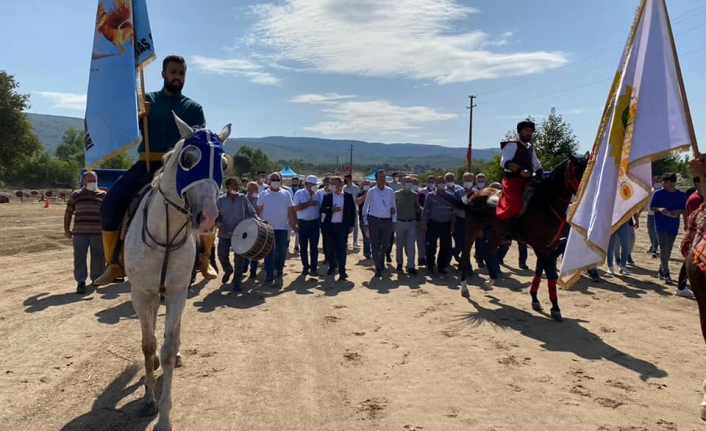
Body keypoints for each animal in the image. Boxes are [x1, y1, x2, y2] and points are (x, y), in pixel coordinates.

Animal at [122, 113, 230, 430]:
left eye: (224, 164)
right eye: (188, 158)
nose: (209, 217)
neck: (165, 235)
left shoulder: (177, 294)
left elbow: (168, 349)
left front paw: (164, 416)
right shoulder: (140, 294)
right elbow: (148, 345)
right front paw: (148, 399)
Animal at [454, 154, 584, 322]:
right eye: (577, 172)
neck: (546, 203)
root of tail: (475, 194)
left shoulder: (549, 247)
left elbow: (542, 272)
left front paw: (541, 302)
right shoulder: (541, 247)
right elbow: (548, 274)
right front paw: (551, 306)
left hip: (497, 233)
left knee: (488, 251)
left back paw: (490, 281)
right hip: (472, 230)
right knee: (465, 254)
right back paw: (465, 287)